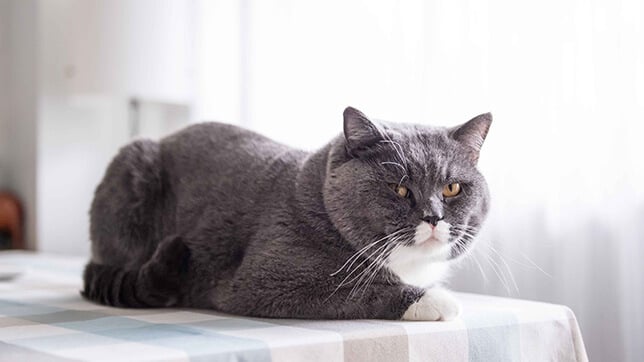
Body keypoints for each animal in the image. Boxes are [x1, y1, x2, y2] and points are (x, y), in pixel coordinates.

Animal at [82, 106, 494, 320]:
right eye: (400, 188)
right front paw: (435, 300)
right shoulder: (264, 278)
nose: (433, 217)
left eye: (452, 188)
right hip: (133, 169)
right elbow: (354, 288)